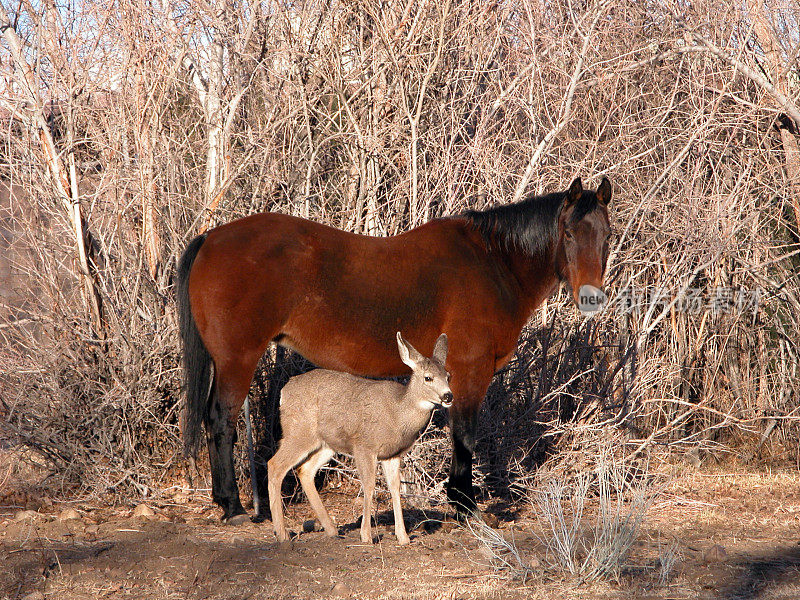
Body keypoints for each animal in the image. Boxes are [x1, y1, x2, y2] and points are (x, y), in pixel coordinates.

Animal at [177, 177, 612, 520]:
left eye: (607, 236)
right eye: (568, 234)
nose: (591, 299)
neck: (492, 263)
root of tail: (212, 238)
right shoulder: (470, 369)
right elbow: (465, 433)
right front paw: (465, 505)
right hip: (237, 359)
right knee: (221, 419)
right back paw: (233, 506)